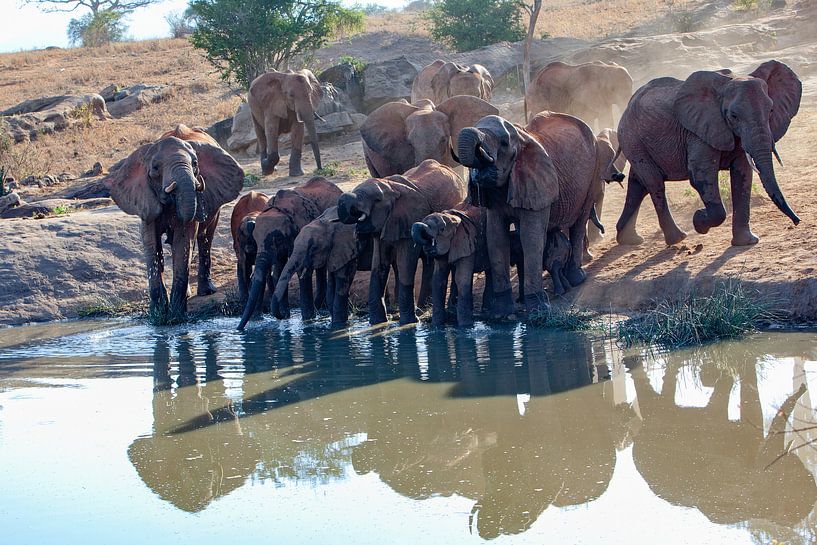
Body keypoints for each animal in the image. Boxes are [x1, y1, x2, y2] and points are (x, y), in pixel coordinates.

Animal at [105, 124, 244, 322]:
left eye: (195, 164)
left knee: (205, 238)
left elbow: (183, 239)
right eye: (155, 168)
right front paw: (158, 316)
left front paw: (175, 317)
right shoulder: (145, 198)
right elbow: (151, 242)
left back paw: (206, 291)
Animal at [237, 176, 341, 330]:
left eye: (278, 238)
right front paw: (286, 317)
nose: (239, 329)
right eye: (255, 239)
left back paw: (319, 309)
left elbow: (301, 270)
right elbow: (279, 271)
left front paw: (308, 321)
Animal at [337, 159, 466, 325]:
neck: (390, 187)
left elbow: (406, 262)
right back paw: (423, 307)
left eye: (375, 199)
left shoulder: (410, 216)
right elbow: (379, 265)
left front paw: (408, 322)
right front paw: (378, 323)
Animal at [455, 112, 607, 317]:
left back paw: (577, 279)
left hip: (593, 172)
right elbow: (496, 238)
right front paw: (501, 313)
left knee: (579, 222)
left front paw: (538, 309)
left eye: (503, 143)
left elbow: (531, 238)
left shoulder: (538, 182)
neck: (520, 139)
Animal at [616, 60, 802, 247]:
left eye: (771, 111)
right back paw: (677, 238)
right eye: (734, 116)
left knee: (638, 184)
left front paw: (746, 242)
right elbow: (701, 176)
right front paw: (698, 220)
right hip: (632, 139)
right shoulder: (698, 132)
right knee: (655, 184)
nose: (797, 221)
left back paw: (629, 239)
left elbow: (742, 175)